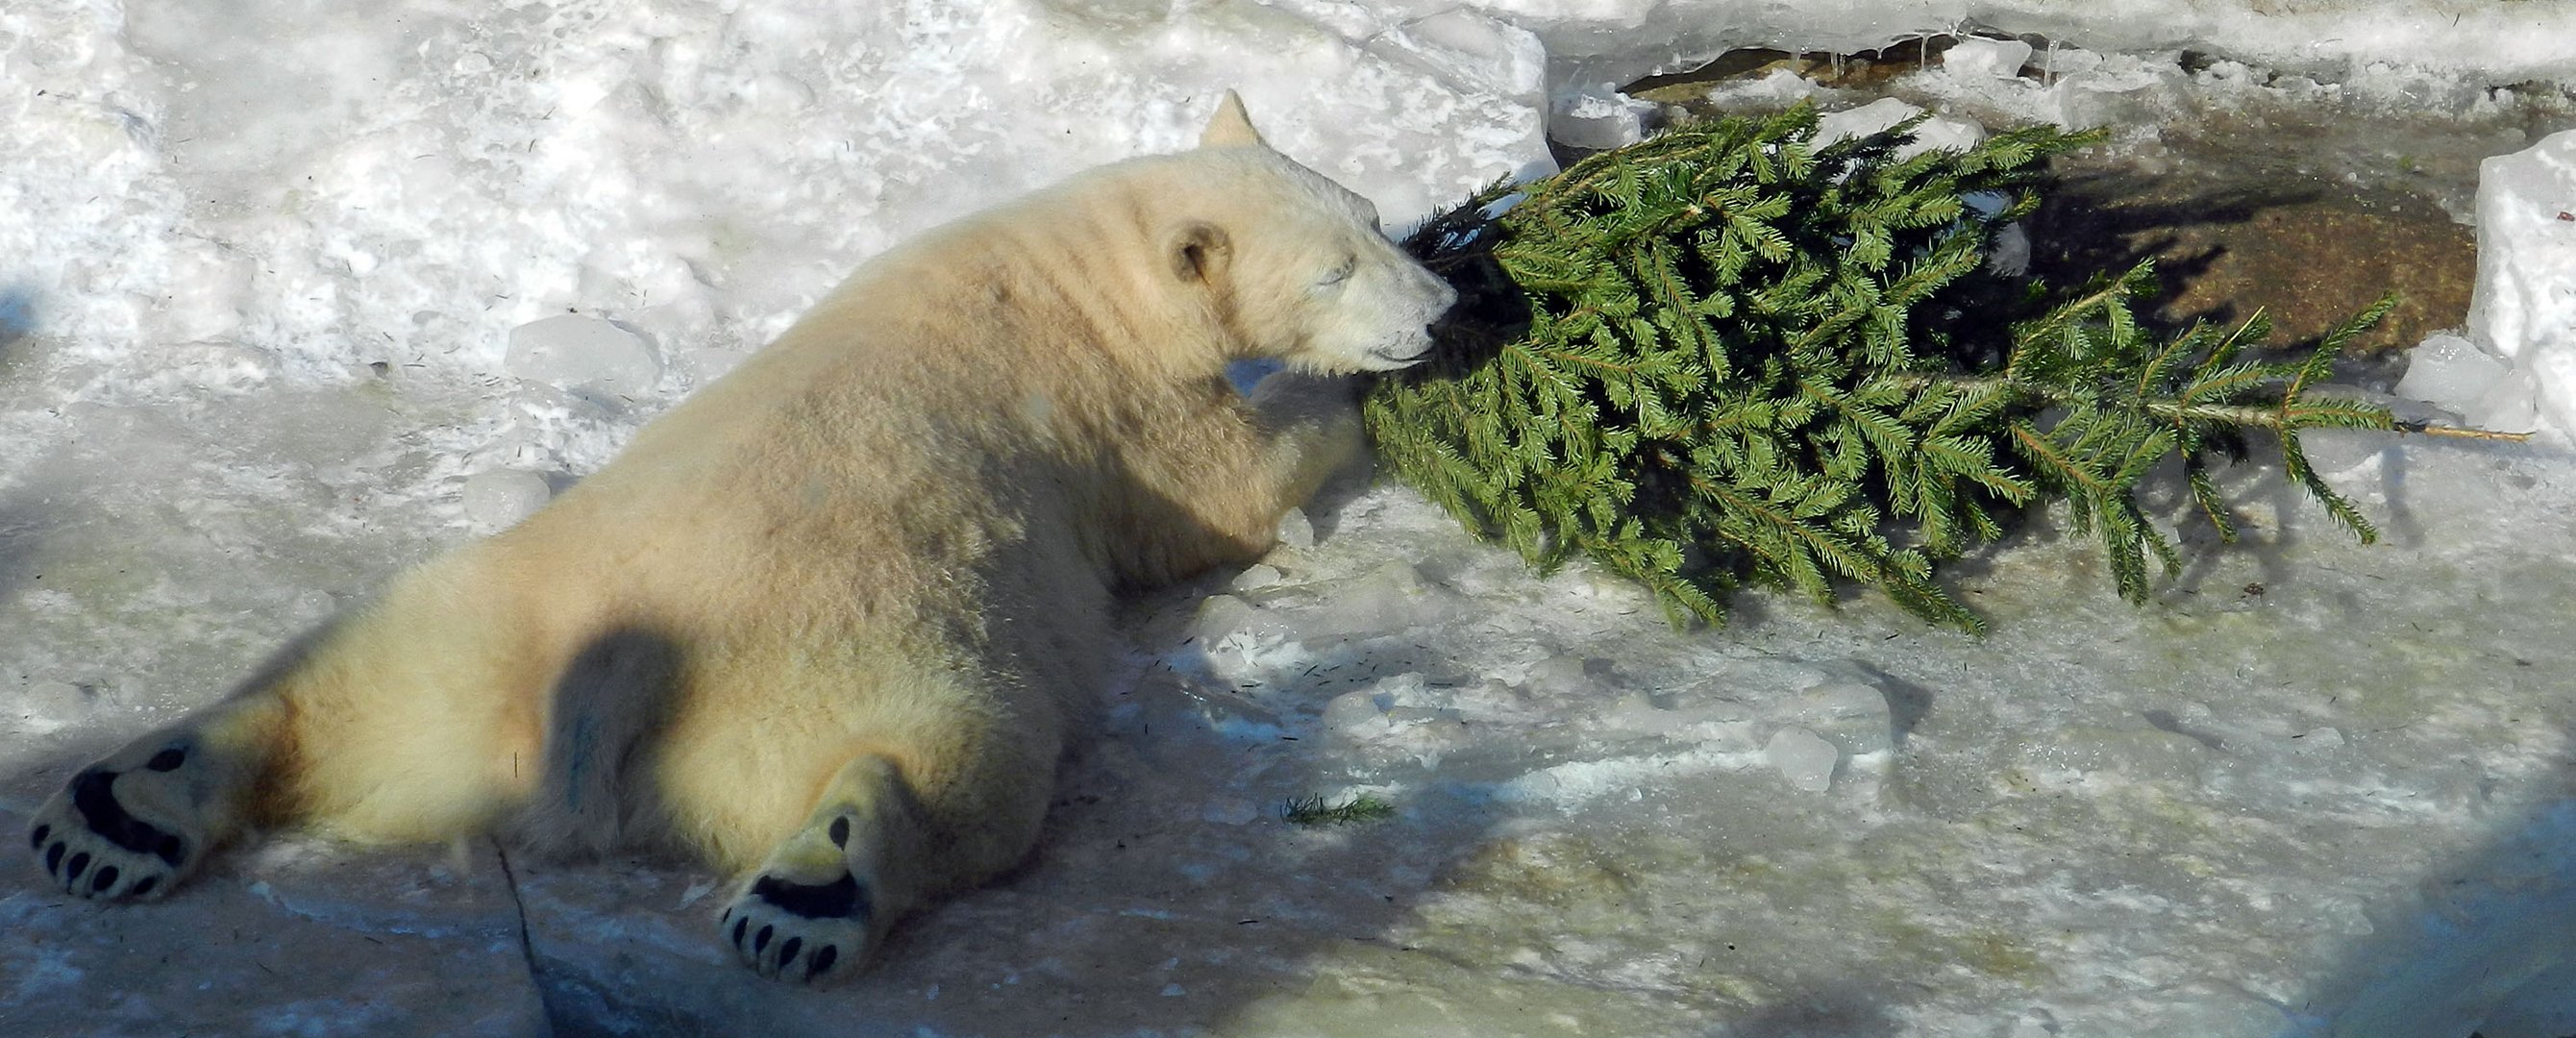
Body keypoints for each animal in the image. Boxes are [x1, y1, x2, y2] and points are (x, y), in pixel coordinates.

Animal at [25, 93, 1452, 989]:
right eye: (1337, 266)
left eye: (1371, 212)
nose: (1440, 302)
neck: (1067, 263)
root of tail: (619, 680)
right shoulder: (1115, 412)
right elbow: (1225, 490)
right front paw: (1360, 401)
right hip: (862, 640)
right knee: (952, 756)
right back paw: (813, 891)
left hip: (481, 627)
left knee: (341, 673)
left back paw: (122, 808)